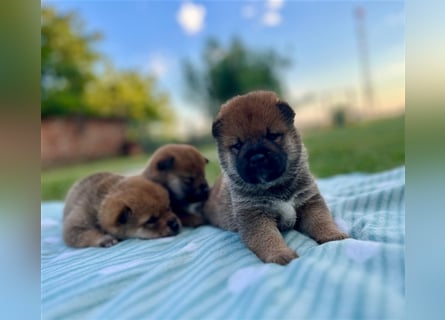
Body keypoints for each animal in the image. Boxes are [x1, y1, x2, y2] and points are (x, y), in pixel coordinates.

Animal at [203, 90, 348, 264]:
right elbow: (268, 238)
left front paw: (333, 235)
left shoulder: (310, 202)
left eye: (272, 135)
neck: (276, 186)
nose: (257, 157)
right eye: (237, 145)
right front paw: (280, 255)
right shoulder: (255, 216)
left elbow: (322, 220)